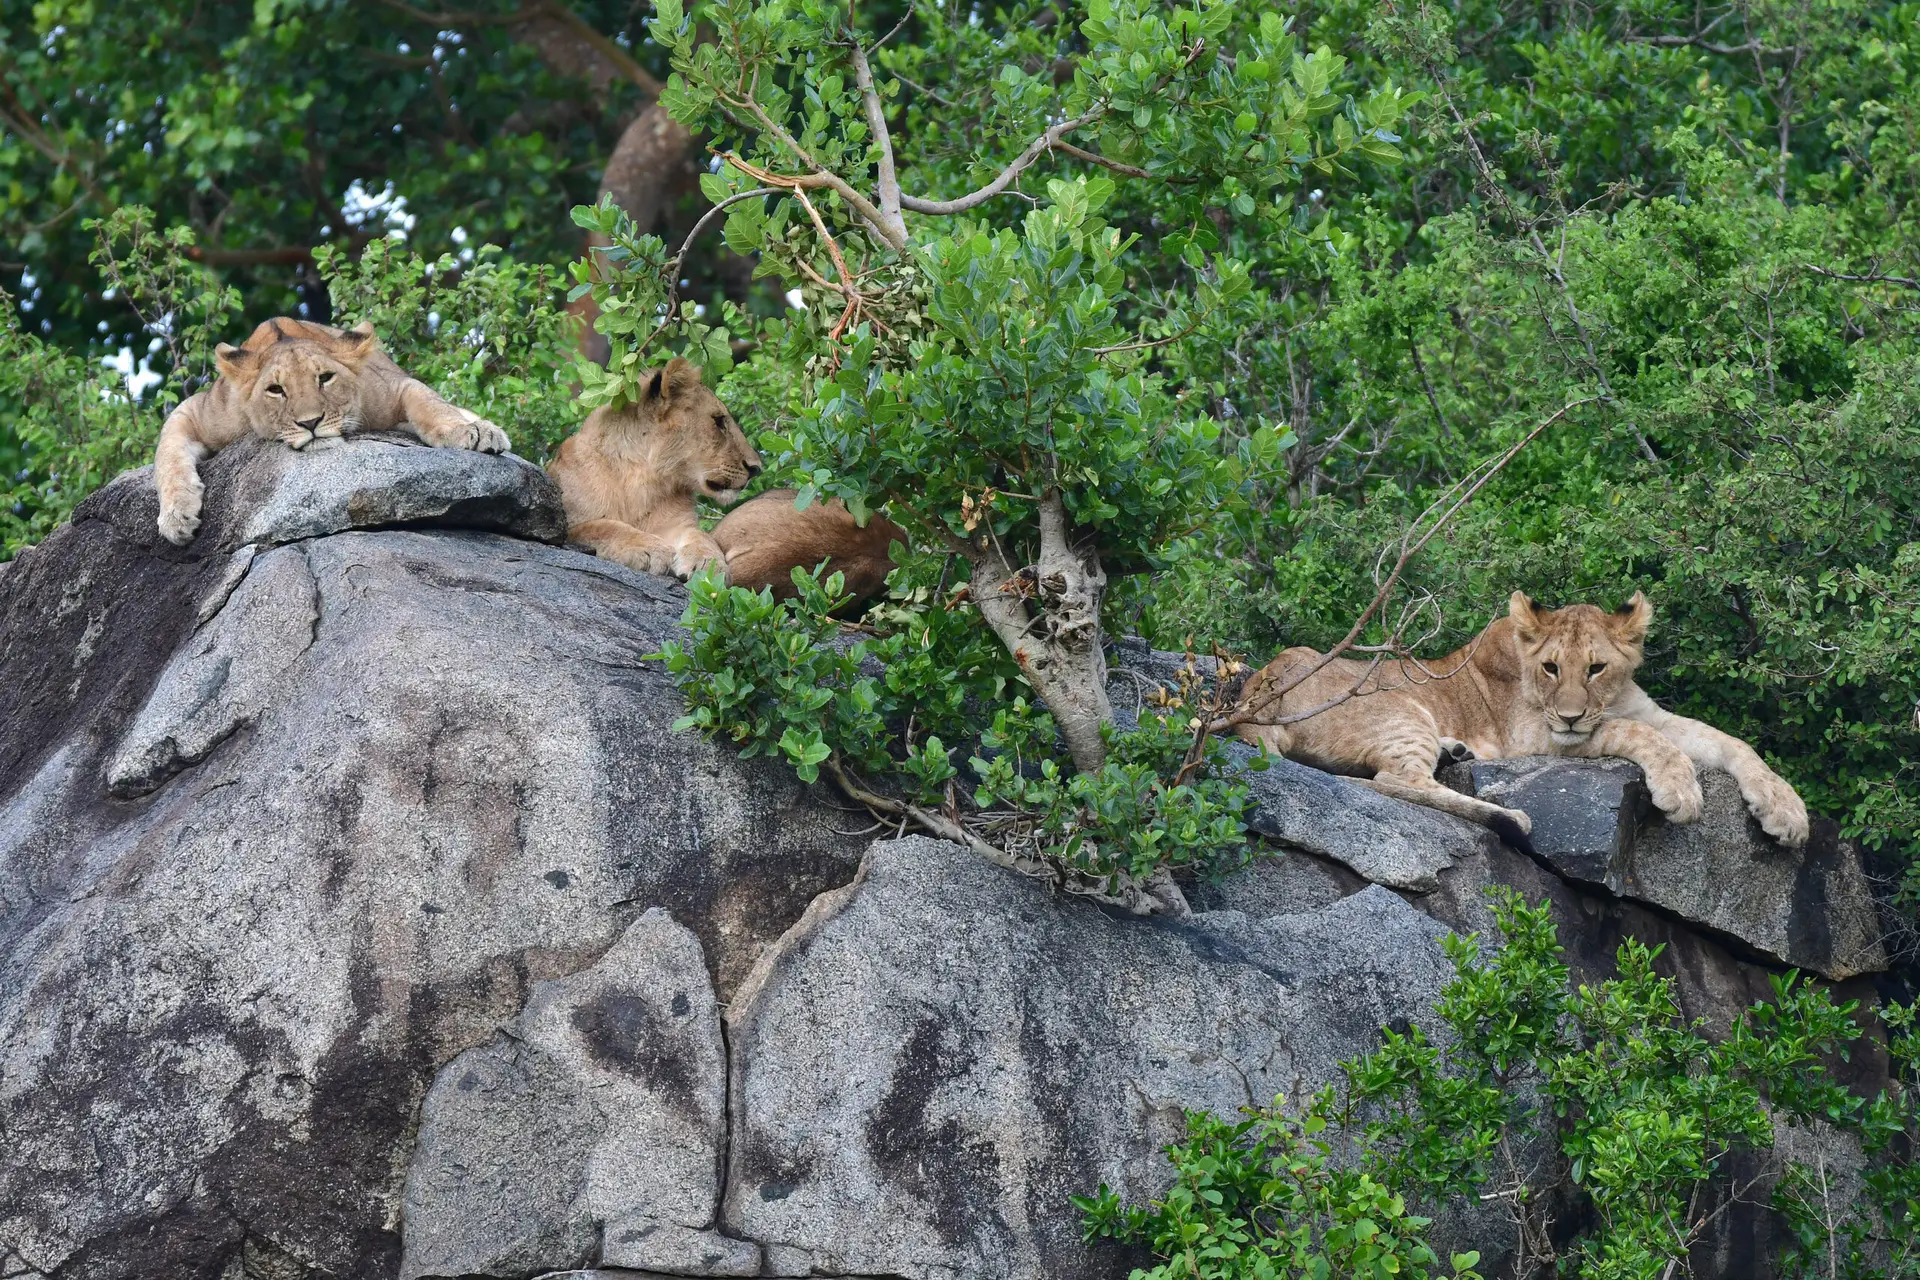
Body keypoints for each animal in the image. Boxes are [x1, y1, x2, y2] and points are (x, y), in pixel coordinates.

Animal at [153, 317, 510, 545]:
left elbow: (430, 402)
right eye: (275, 389)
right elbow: (167, 456)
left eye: (325, 378)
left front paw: (470, 431)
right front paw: (177, 517)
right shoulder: (197, 411)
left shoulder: (392, 386)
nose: (310, 423)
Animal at [546, 357, 762, 580]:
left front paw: (709, 563)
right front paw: (650, 549)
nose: (756, 468)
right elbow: (600, 527)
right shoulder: (566, 524)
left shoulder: (677, 524)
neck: (644, 479)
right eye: (718, 421)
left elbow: (700, 535)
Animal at [1236, 591, 1810, 850]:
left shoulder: (1648, 712)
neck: (1605, 699)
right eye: (1551, 667)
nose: (1573, 714)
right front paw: (1681, 791)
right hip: (1401, 710)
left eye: (1597, 667)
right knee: (1390, 782)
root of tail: (1257, 690)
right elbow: (1635, 735)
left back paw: (1457, 750)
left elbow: (1729, 741)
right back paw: (1512, 818)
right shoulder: (1537, 735)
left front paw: (1786, 810)